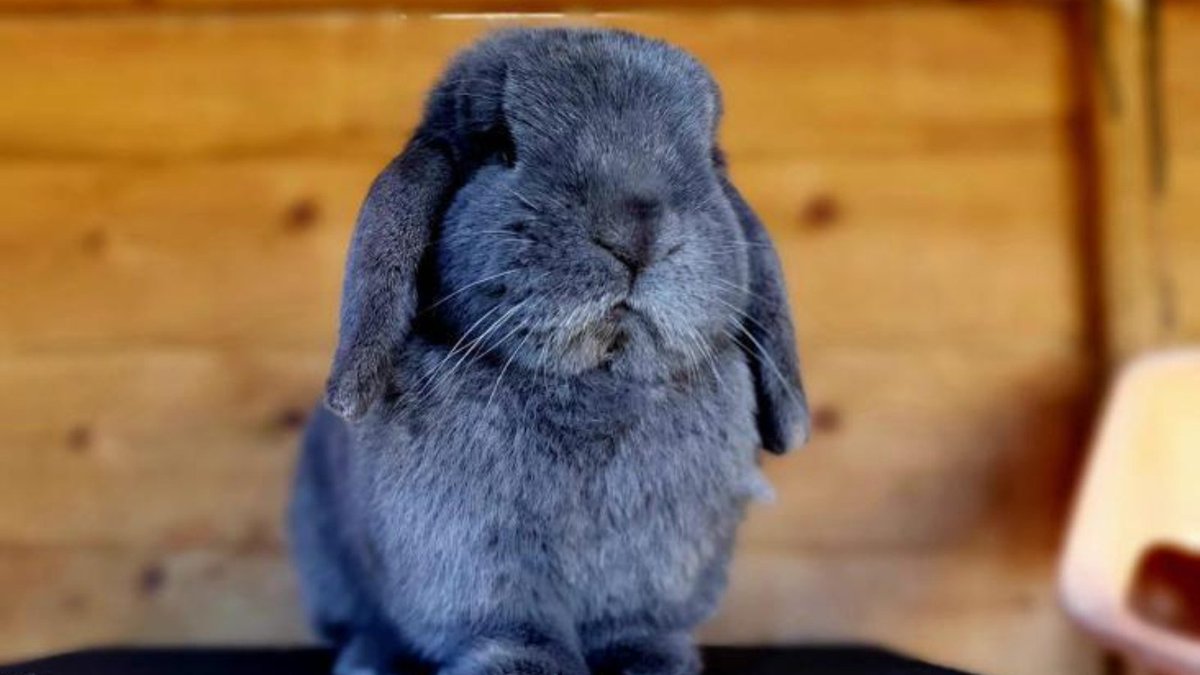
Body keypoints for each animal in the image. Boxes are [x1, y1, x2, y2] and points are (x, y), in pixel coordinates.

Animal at [289, 26, 811, 672]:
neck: (597, 381)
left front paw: (651, 662)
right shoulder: (472, 551)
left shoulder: (654, 562)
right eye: (499, 146)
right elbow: (509, 621)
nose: (635, 231)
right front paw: (521, 665)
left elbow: (632, 625)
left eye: (710, 161)